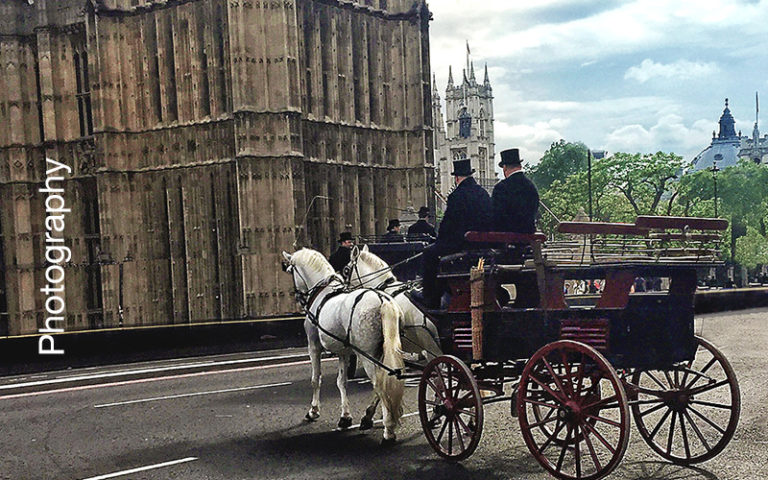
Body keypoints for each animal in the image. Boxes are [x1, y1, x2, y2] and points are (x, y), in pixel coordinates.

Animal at [280, 248, 404, 442]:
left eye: (290, 270)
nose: (299, 298)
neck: (323, 293)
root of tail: (382, 300)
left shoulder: (313, 347)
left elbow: (316, 379)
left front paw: (313, 411)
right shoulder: (344, 352)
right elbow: (342, 382)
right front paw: (345, 417)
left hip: (368, 356)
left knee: (379, 384)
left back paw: (388, 429)